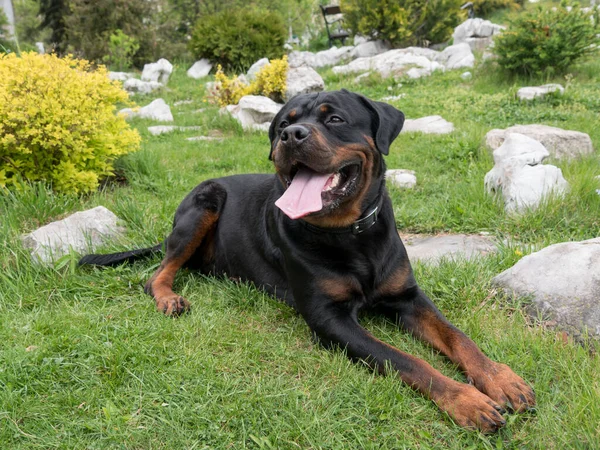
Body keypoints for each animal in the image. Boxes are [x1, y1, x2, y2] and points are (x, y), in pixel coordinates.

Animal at [79, 89, 536, 432]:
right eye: (284, 124)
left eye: (334, 119)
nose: (292, 135)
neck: (351, 235)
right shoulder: (329, 318)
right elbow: (406, 359)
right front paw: (467, 400)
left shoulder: (407, 296)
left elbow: (457, 336)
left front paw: (500, 379)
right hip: (202, 204)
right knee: (159, 271)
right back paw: (168, 297)